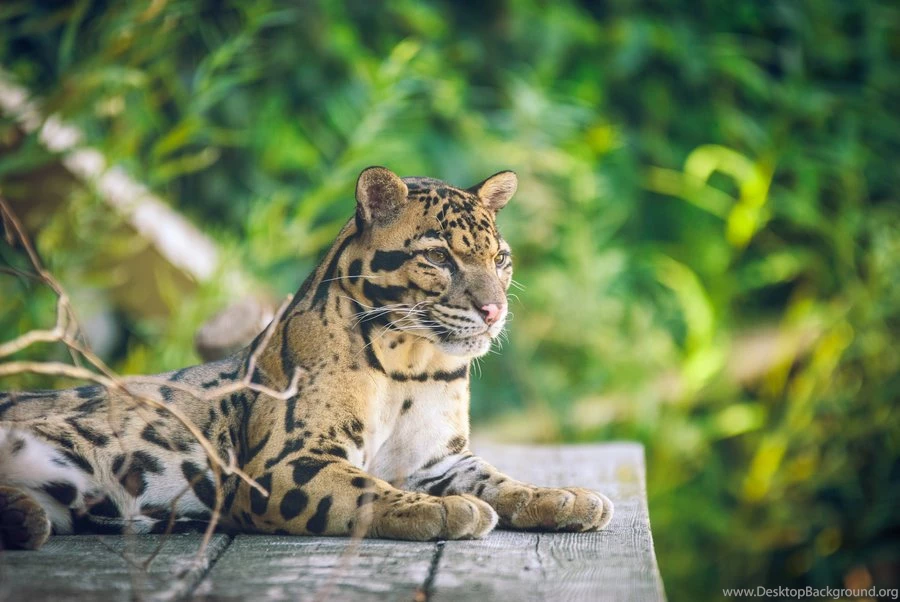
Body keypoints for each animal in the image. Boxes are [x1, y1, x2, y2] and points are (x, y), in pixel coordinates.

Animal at [0, 167, 613, 550]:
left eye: (500, 259)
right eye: (439, 257)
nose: (493, 310)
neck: (412, 365)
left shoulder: (438, 461)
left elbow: (499, 479)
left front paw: (563, 496)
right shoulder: (283, 462)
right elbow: (367, 489)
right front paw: (442, 511)